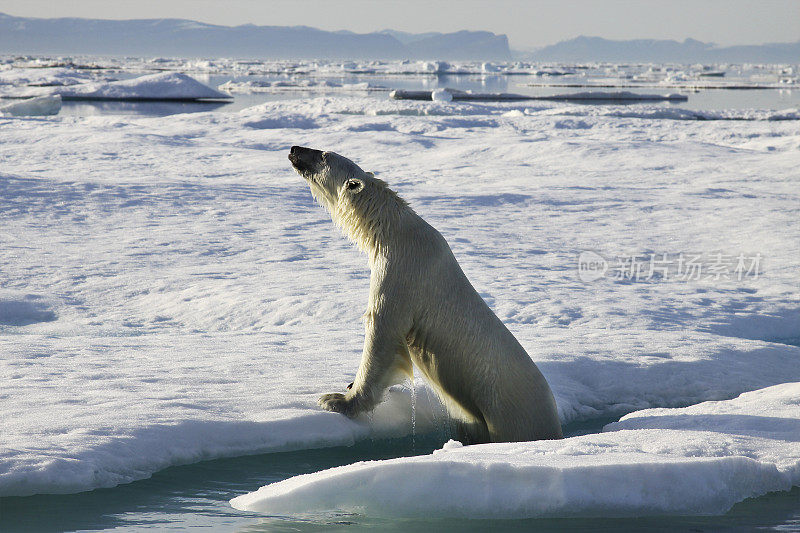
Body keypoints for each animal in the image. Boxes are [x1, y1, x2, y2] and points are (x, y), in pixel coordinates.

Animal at [290, 145, 564, 440]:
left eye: (323, 155)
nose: (294, 149)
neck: (395, 232)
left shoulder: (401, 271)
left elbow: (382, 330)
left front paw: (337, 400)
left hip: (511, 412)